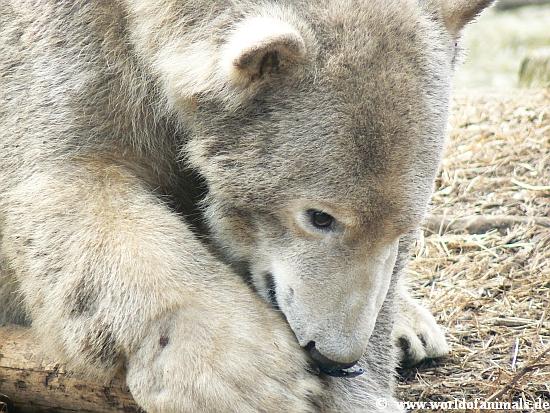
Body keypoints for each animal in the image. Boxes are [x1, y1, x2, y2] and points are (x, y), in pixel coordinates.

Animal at [0, 0, 493, 411]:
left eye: (406, 229)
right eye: (320, 217)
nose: (337, 356)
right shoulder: (66, 50)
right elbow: (73, 181)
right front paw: (250, 379)